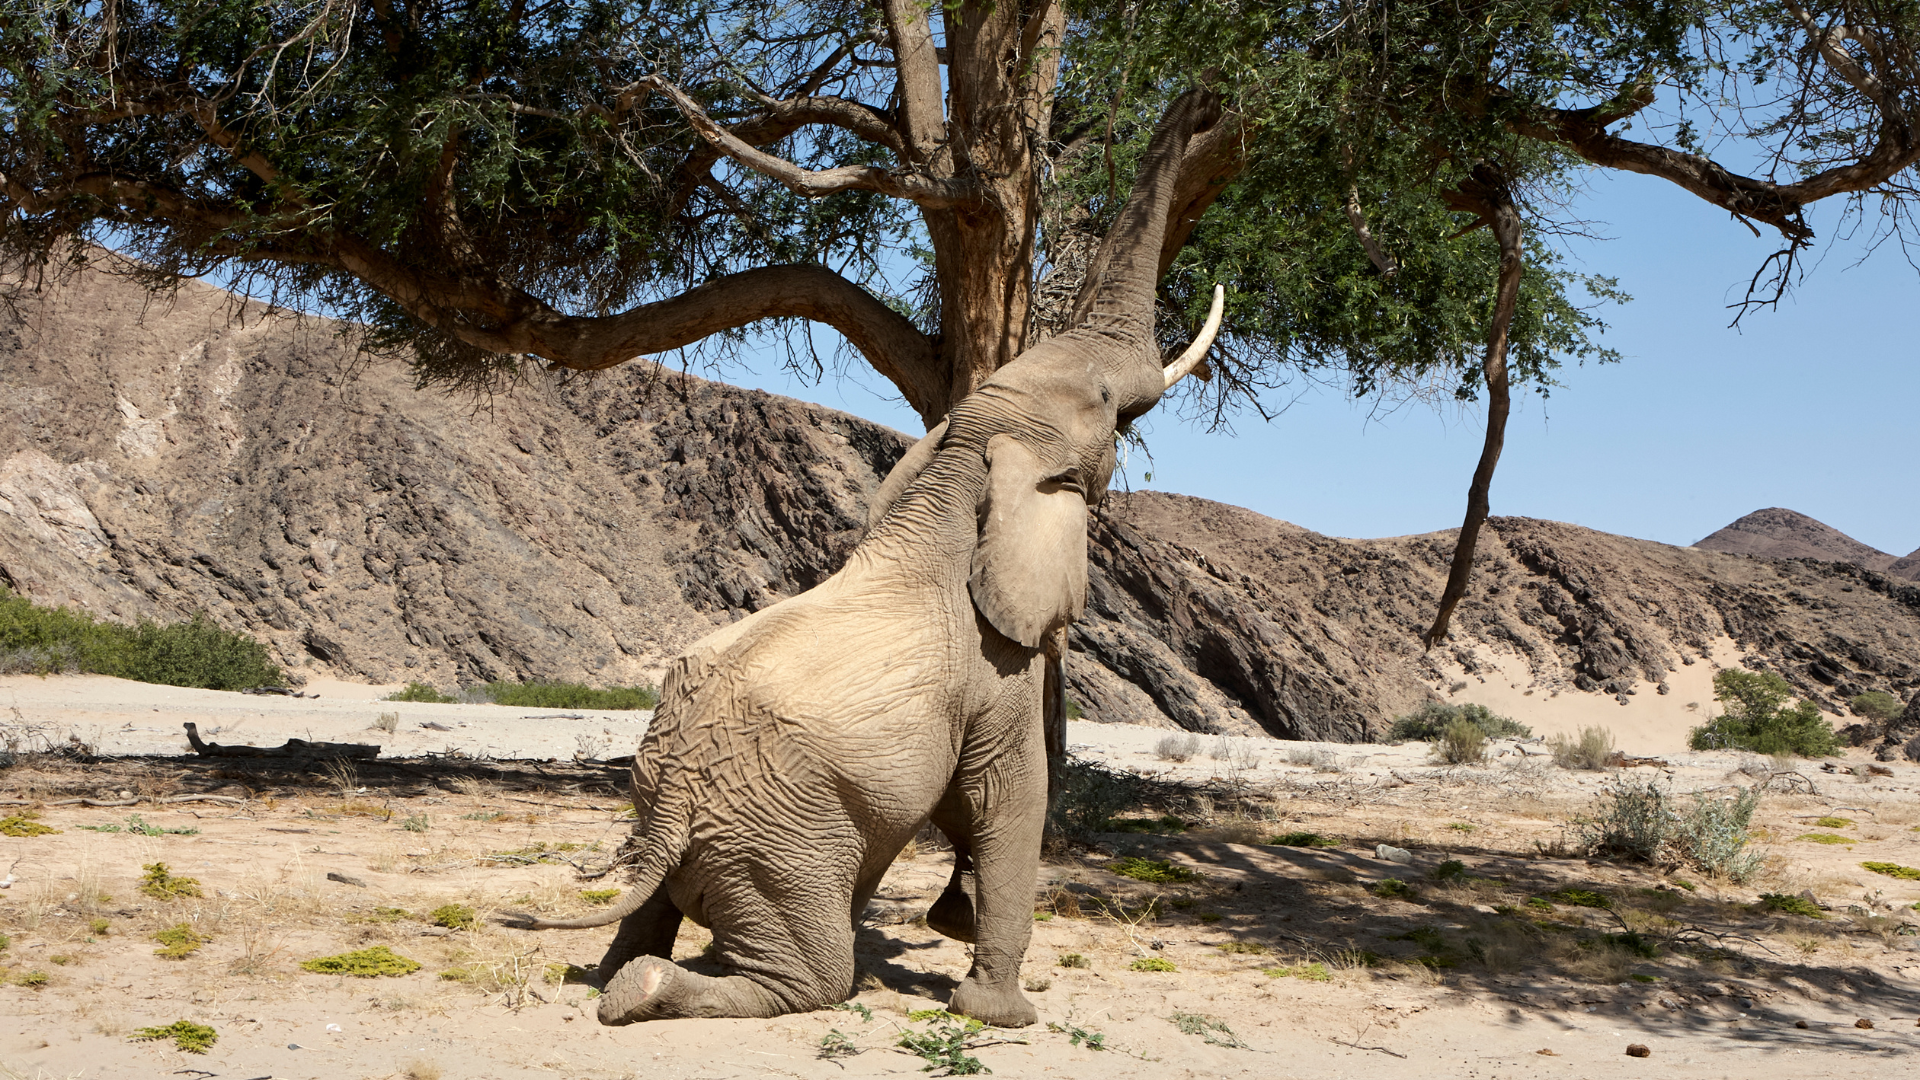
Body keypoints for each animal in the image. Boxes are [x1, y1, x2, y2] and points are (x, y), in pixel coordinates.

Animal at [503, 88, 1221, 1022]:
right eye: (1105, 400)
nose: (1209, 103)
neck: (962, 470)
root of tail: (672, 812)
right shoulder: (994, 670)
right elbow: (1008, 799)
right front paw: (1000, 1014)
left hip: (683, 810)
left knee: (654, 912)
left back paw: (617, 979)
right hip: (782, 840)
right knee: (809, 976)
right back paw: (660, 989)